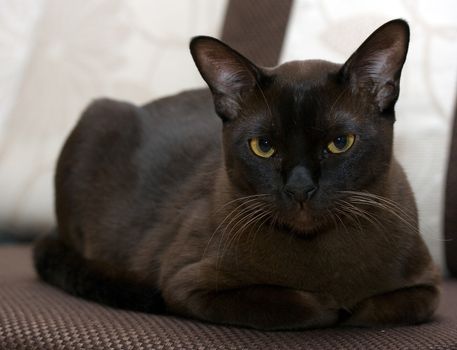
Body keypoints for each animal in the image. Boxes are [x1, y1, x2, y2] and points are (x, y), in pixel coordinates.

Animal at [33, 19, 440, 330]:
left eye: (340, 142)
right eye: (263, 146)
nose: (300, 188)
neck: (322, 255)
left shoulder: (427, 289)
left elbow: (374, 308)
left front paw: (349, 306)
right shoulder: (186, 285)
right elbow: (300, 306)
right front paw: (331, 305)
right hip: (98, 117)